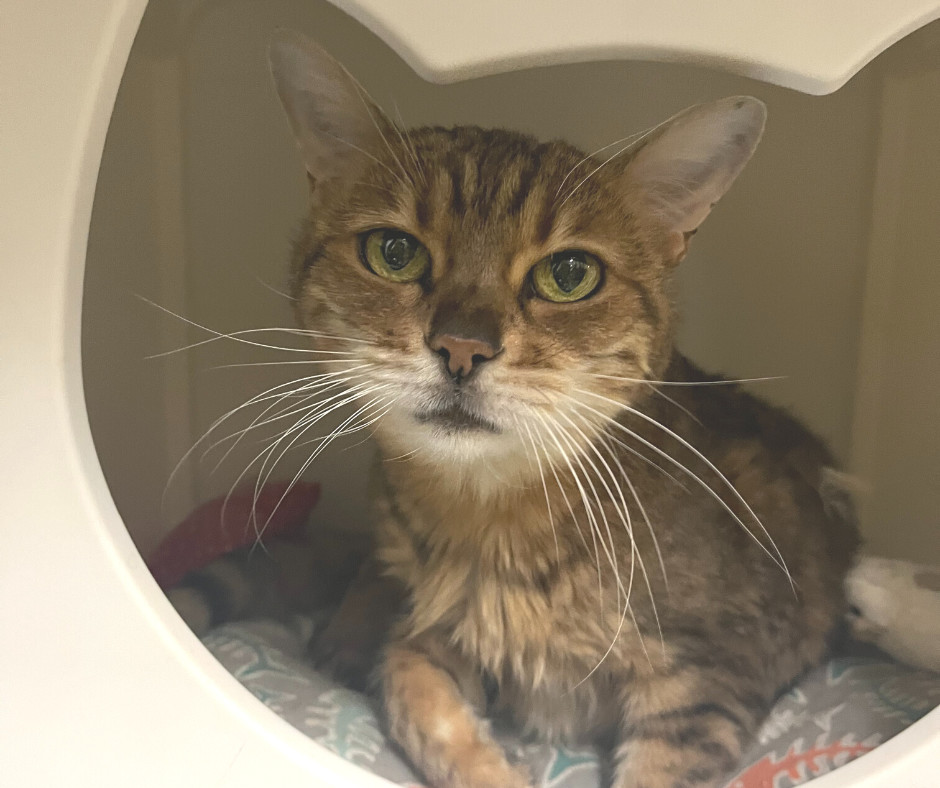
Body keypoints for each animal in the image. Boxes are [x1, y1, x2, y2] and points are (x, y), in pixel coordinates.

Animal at [264, 30, 860, 788]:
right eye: (393, 252)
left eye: (569, 275)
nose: (462, 347)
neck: (489, 521)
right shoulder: (427, 640)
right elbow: (417, 697)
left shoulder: (708, 673)